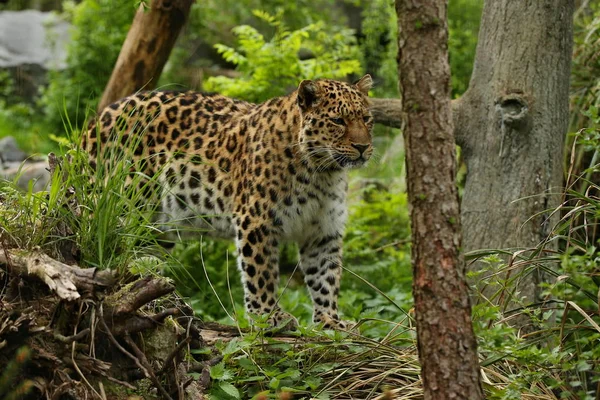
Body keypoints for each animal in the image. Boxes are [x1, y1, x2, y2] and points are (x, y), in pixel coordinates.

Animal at [83, 73, 376, 330]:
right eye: (338, 120)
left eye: (366, 119)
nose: (363, 147)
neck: (322, 173)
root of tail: (98, 119)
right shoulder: (257, 222)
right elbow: (261, 274)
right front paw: (268, 317)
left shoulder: (323, 231)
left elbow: (325, 277)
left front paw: (330, 322)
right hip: (124, 204)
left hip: (156, 227)